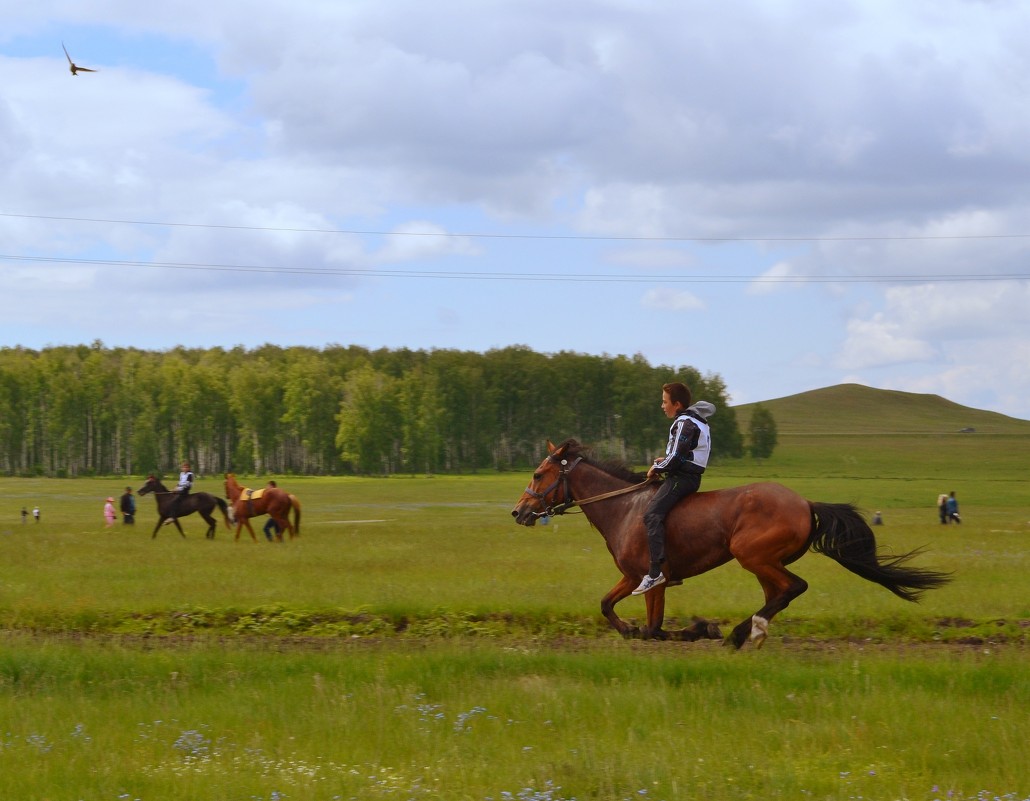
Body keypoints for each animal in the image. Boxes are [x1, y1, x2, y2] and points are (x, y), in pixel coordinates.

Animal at [510, 440, 951, 646]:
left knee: (794, 587)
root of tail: (805, 502)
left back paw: (739, 634)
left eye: (537, 474)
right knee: (779, 595)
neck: (625, 507)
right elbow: (609, 607)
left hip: (751, 555)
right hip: (762, 563)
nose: (518, 512)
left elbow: (654, 629)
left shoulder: (652, 579)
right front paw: (632, 629)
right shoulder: (636, 578)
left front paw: (699, 629)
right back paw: (750, 633)